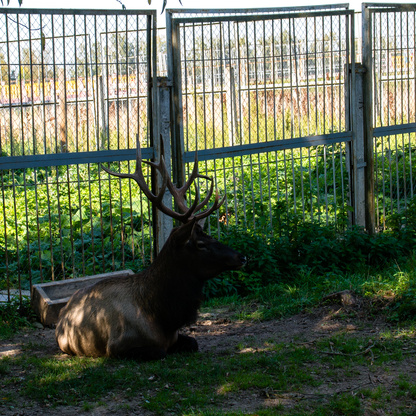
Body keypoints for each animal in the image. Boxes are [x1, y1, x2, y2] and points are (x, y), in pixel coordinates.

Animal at [55, 138, 246, 360]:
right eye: (200, 244)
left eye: (210, 236)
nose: (242, 257)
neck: (164, 318)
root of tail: (62, 313)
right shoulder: (118, 346)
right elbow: (161, 352)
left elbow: (194, 342)